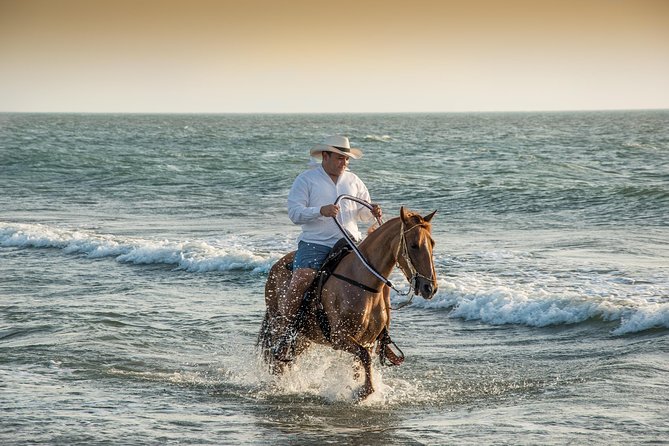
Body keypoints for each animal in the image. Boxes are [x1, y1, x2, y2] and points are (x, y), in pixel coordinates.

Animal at [258, 207, 438, 400]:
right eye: (414, 245)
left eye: (432, 243)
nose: (430, 287)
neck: (361, 280)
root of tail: (275, 267)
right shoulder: (340, 337)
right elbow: (365, 358)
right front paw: (362, 392)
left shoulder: (368, 340)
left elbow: (360, 365)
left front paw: (358, 388)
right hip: (280, 326)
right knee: (277, 360)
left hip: (304, 338)